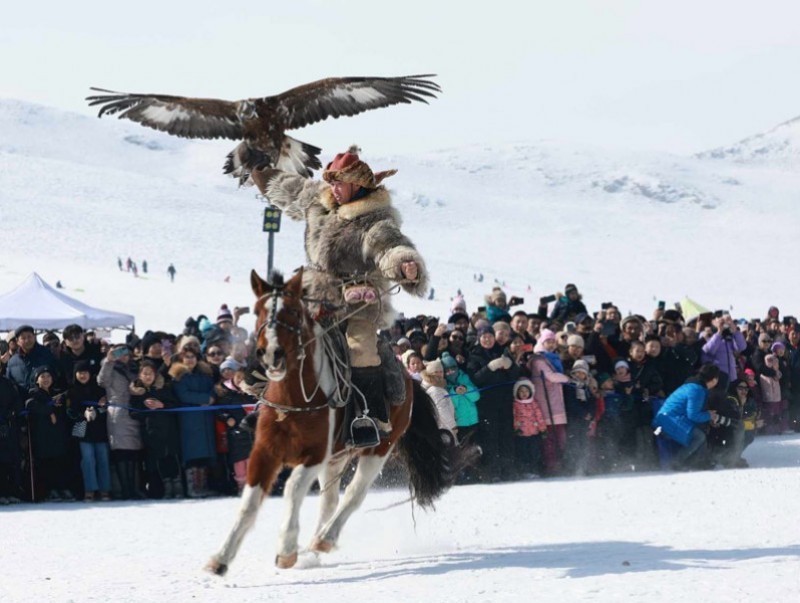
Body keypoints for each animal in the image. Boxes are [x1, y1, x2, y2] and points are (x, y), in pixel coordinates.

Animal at [203, 268, 476, 576]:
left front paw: (286, 550)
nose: (271, 353)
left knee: (354, 495)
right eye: (259, 310)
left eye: (294, 312)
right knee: (329, 500)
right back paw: (312, 549)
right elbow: (250, 502)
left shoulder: (315, 454)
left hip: (377, 450)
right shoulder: (265, 452)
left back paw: (324, 539)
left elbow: (293, 488)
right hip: (339, 455)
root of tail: (408, 378)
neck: (295, 398)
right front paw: (220, 558)